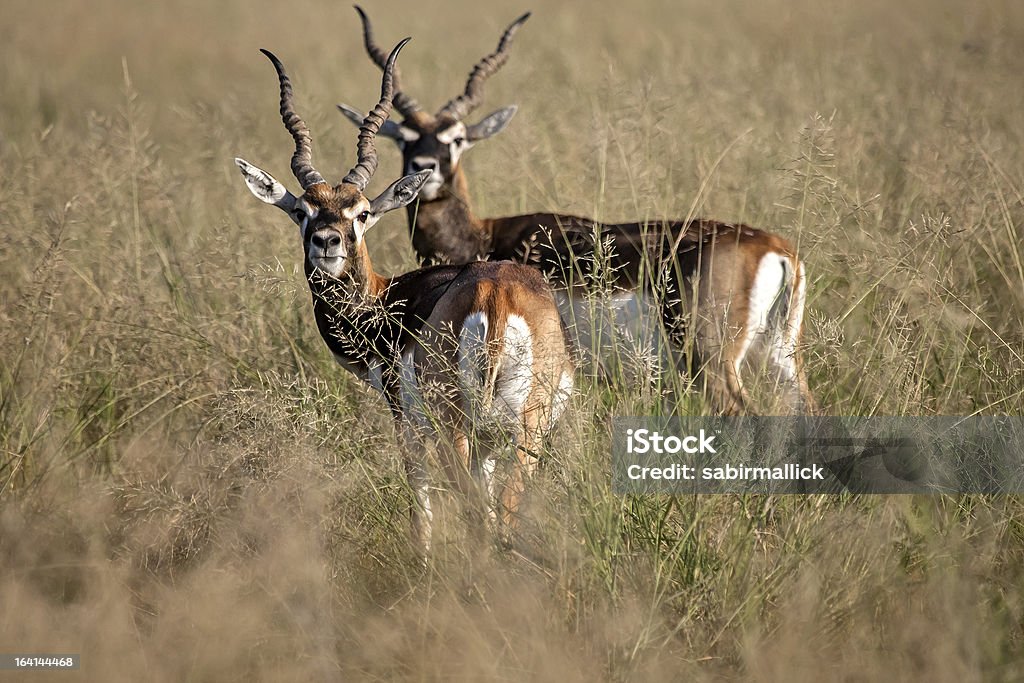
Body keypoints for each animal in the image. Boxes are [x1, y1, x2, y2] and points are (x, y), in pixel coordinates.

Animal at [234, 38, 577, 557]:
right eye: (301, 210)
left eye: (362, 212)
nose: (327, 242)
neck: (387, 301)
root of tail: (496, 295)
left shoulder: (406, 421)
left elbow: (419, 492)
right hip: (524, 430)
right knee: (504, 513)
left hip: (457, 427)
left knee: (479, 511)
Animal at [339, 7, 819, 417]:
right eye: (404, 139)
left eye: (457, 138)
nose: (426, 169)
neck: (484, 239)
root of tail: (777, 250)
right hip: (779, 359)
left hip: (713, 363)